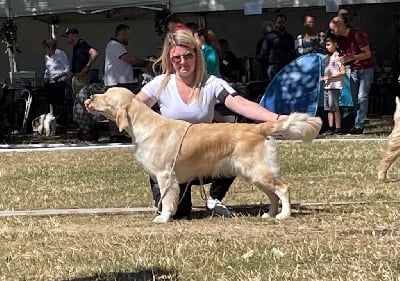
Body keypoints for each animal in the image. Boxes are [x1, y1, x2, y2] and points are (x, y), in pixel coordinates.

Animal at [85, 87, 322, 223]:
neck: (142, 123)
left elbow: (167, 200)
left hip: (258, 170)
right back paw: (270, 214)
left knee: (283, 188)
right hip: (253, 173)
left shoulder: (165, 175)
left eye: (106, 97)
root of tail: (258, 127)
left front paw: (163, 218)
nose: (90, 97)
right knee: (272, 194)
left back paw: (283, 215)